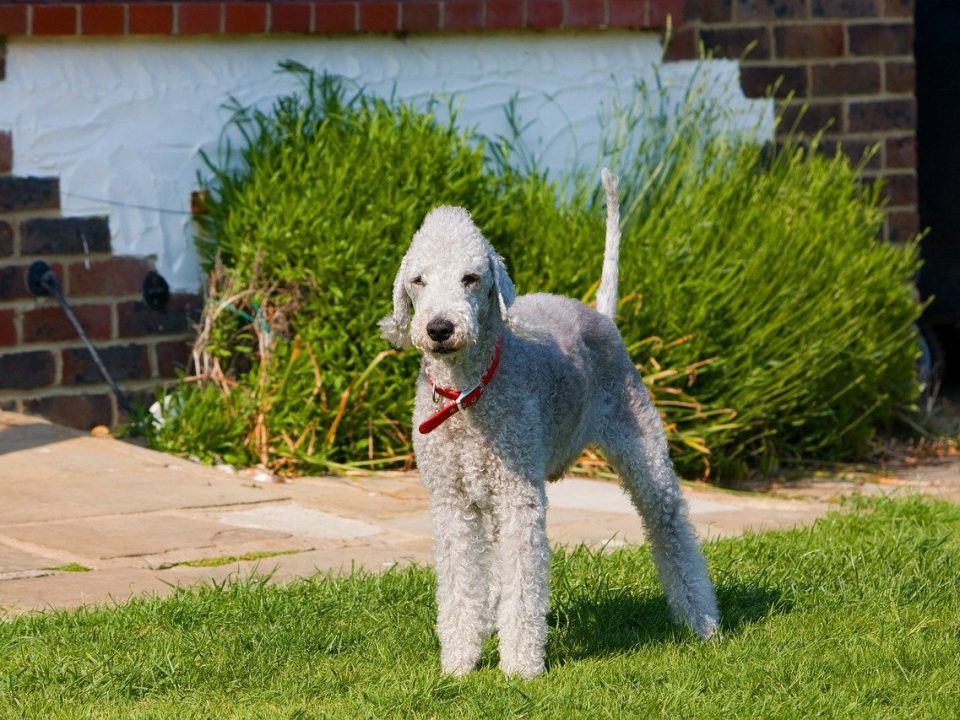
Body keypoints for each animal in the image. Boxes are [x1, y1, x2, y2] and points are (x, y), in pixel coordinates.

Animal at [378, 172, 716, 676]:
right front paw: (458, 663)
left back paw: (702, 621)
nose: (439, 328)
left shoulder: (520, 497)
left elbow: (524, 583)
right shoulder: (452, 501)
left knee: (670, 524)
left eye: (470, 278)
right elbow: (460, 584)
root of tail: (599, 314)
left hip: (641, 444)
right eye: (418, 281)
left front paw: (520, 667)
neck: (468, 393)